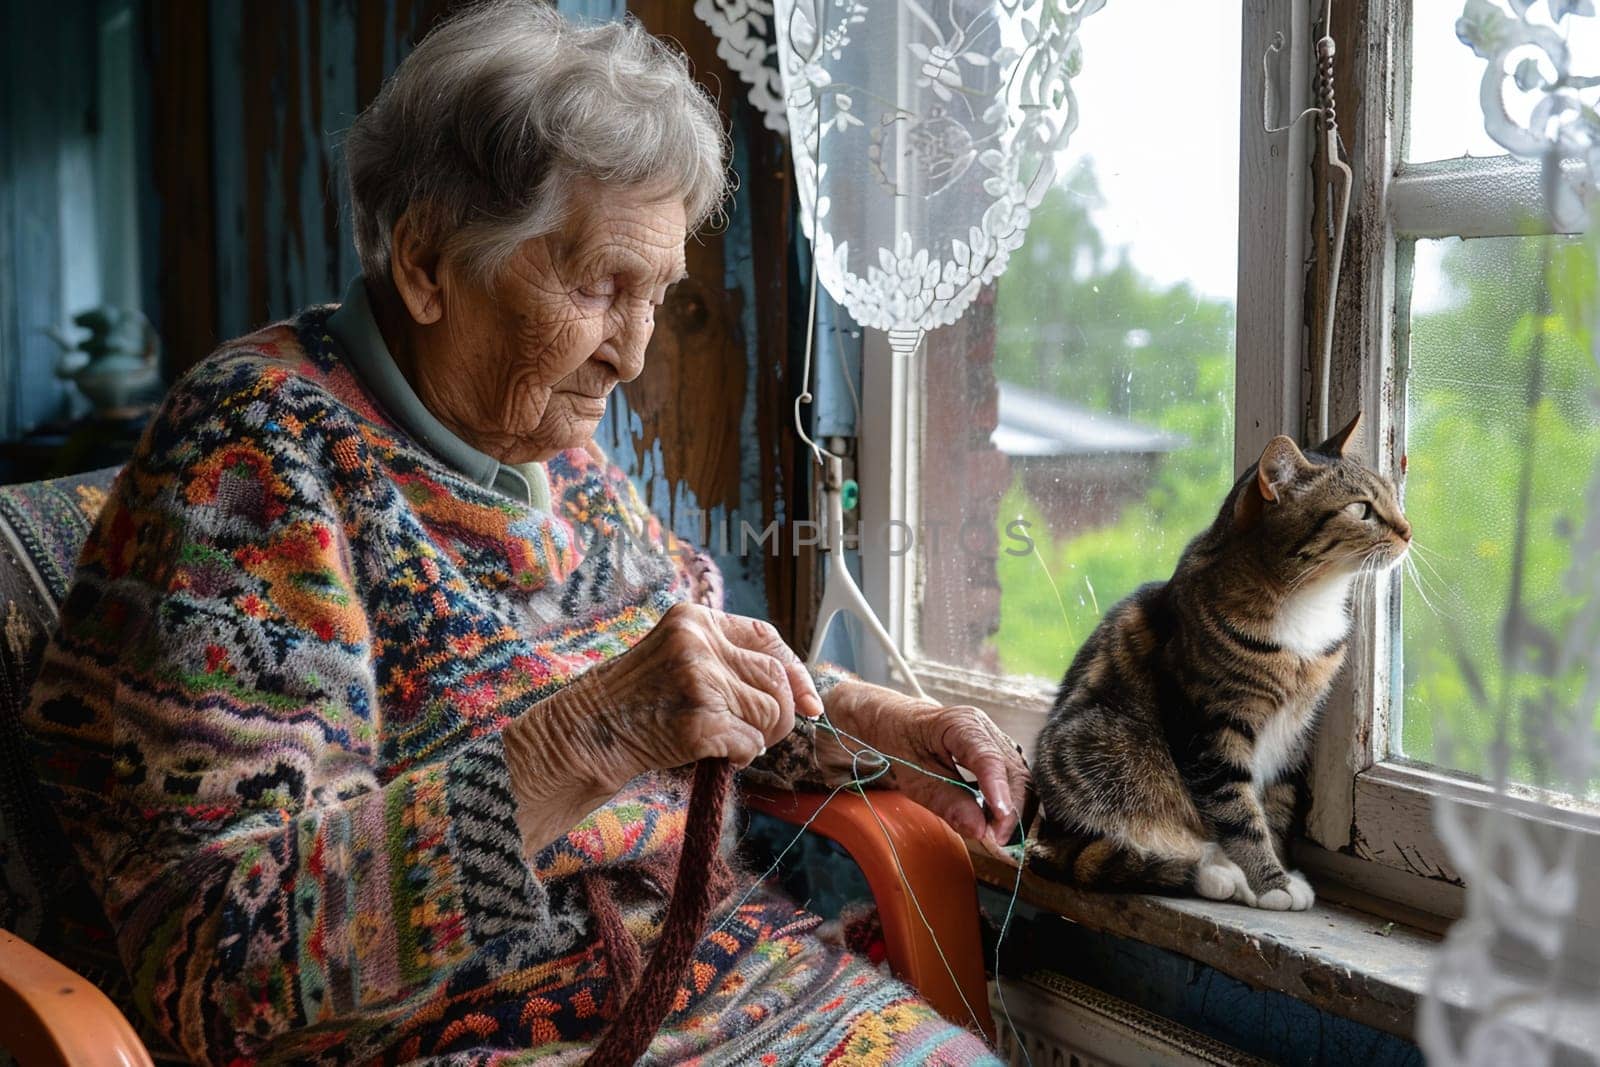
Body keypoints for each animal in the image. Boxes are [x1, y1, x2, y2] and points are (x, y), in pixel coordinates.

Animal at [1030, 415, 1408, 908]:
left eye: (1392, 496)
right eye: (1361, 509)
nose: (1408, 530)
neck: (1305, 603)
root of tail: (1043, 833)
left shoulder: (1293, 733)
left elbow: (1275, 805)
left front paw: (1278, 869)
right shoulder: (1211, 727)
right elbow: (1237, 811)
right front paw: (1272, 883)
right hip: (1104, 750)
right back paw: (1218, 874)